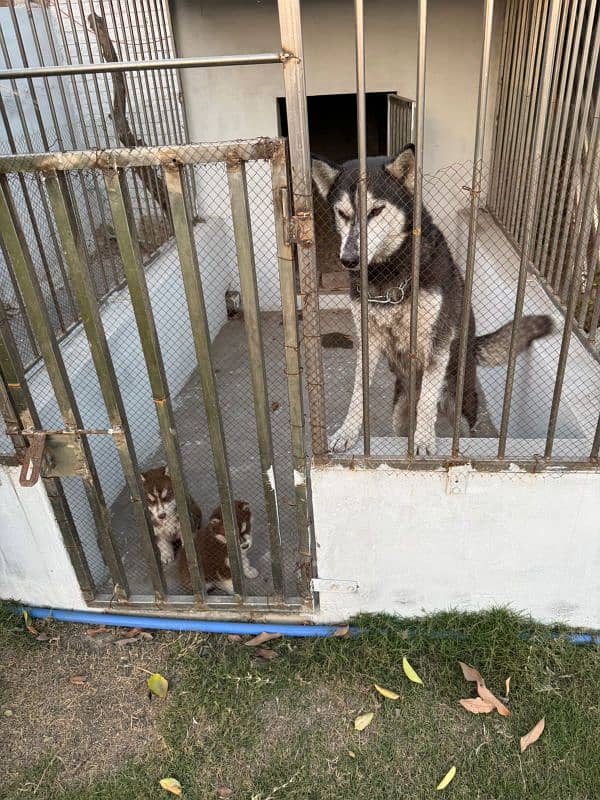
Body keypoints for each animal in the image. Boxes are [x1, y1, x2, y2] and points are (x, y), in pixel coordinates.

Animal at [314, 145, 552, 456]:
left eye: (376, 211)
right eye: (342, 213)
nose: (349, 260)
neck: (390, 274)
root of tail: (472, 347)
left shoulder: (436, 342)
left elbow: (427, 399)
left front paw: (425, 440)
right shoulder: (368, 338)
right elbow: (358, 393)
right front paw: (347, 431)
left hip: (460, 406)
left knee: (460, 425)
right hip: (399, 415)